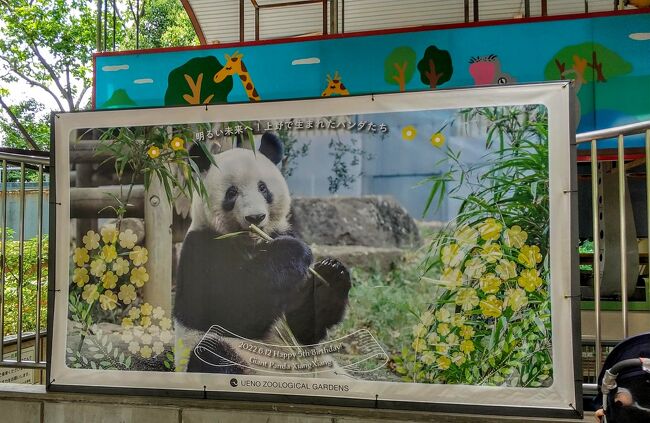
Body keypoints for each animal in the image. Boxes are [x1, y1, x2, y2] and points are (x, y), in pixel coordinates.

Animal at [172, 132, 352, 374]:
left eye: (263, 188)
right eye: (232, 192)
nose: (255, 217)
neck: (252, 243)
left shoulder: (282, 231)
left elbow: (302, 327)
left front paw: (331, 274)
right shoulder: (203, 248)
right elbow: (229, 311)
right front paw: (292, 252)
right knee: (211, 353)